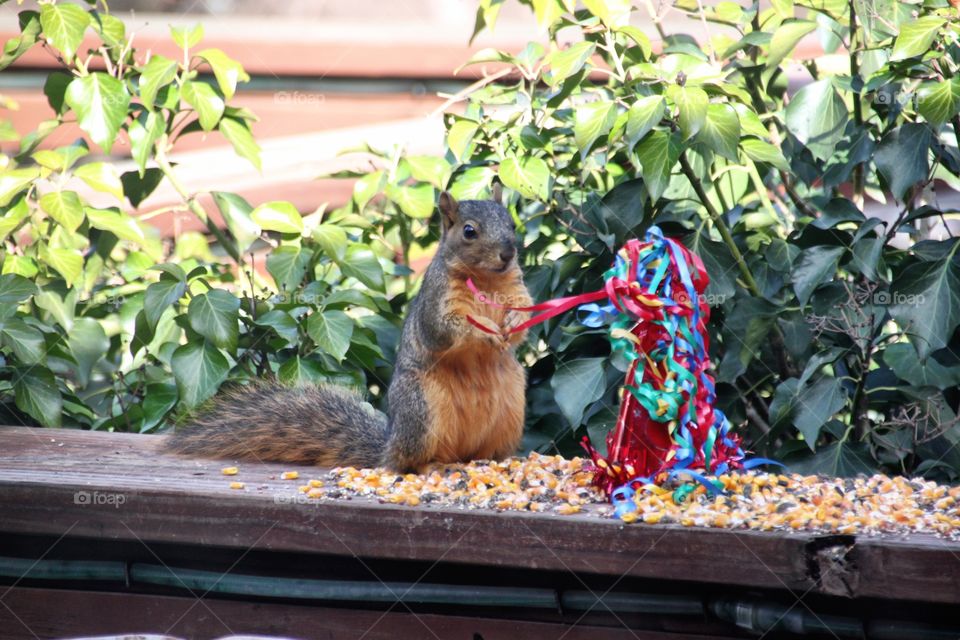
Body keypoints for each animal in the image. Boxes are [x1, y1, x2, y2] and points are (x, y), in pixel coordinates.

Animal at [165, 189, 533, 473]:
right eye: (469, 231)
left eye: (511, 223)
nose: (508, 253)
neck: (486, 280)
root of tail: (389, 446)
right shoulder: (436, 303)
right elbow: (445, 330)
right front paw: (485, 330)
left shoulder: (516, 289)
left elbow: (523, 311)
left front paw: (512, 324)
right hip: (423, 410)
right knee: (409, 463)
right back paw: (434, 466)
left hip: (512, 406)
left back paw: (500, 462)